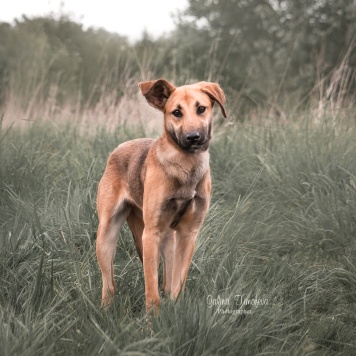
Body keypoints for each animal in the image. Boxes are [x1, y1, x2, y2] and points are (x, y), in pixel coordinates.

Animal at [96, 78, 227, 312]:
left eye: (201, 109)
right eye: (176, 112)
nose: (193, 138)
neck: (185, 165)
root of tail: (118, 149)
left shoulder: (187, 234)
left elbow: (177, 284)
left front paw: (175, 311)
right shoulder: (151, 234)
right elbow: (152, 291)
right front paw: (153, 320)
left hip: (168, 240)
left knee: (166, 280)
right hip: (107, 235)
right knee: (109, 283)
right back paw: (106, 310)